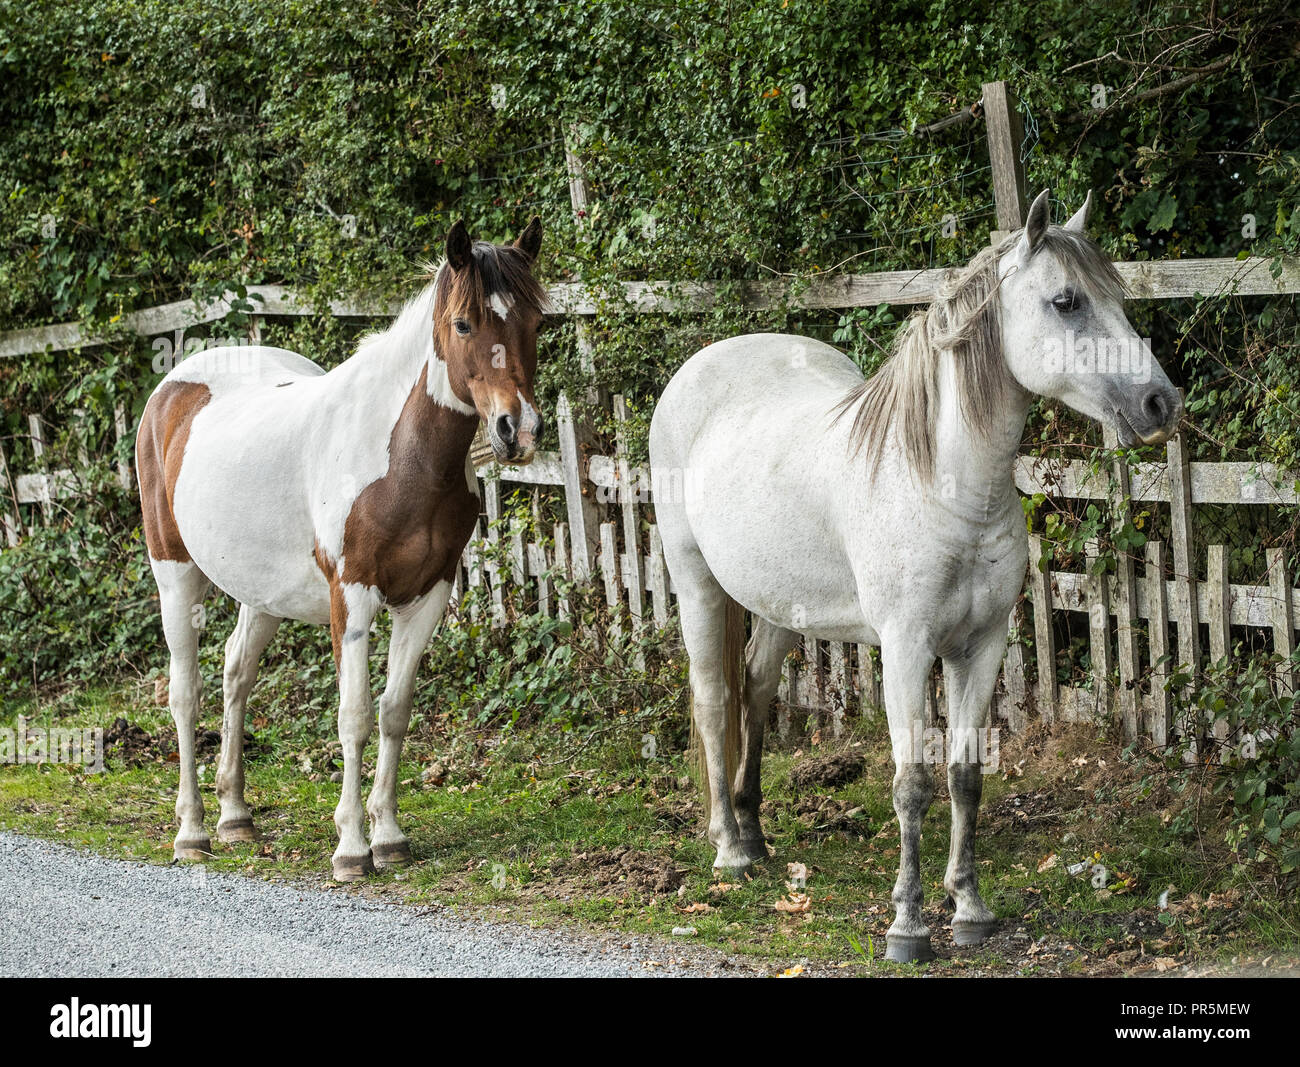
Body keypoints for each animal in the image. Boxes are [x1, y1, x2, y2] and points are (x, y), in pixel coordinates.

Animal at [139, 218, 546, 883]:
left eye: (535, 321)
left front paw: (389, 837)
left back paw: (235, 818)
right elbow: (352, 716)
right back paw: (192, 832)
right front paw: (353, 847)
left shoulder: (426, 597)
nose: (520, 431)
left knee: (235, 675)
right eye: (464, 324)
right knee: (185, 691)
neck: (398, 456)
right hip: (174, 573)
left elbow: (394, 711)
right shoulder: (352, 597)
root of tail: (176, 386)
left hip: (263, 595)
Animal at [655, 191, 1185, 966]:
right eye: (1066, 301)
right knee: (715, 697)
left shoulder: (980, 646)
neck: (946, 486)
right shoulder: (906, 650)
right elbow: (911, 784)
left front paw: (968, 907)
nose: (1159, 405)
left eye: (1117, 297)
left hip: (783, 605)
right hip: (696, 580)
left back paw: (754, 833)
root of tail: (699, 367)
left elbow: (965, 776)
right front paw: (906, 925)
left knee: (754, 688)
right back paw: (729, 846)